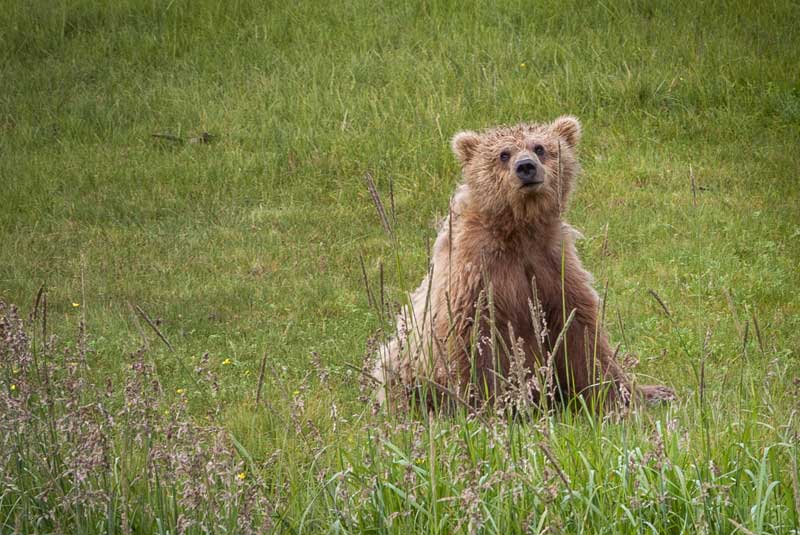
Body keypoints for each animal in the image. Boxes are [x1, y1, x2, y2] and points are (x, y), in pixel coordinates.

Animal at [373, 116, 675, 411]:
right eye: (503, 154)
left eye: (540, 148)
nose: (526, 167)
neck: (518, 231)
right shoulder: (476, 276)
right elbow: (473, 346)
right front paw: (487, 406)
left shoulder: (552, 266)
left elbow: (582, 335)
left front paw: (637, 394)